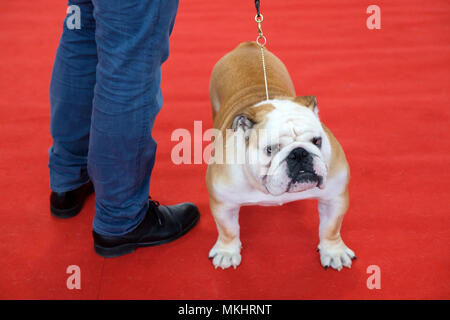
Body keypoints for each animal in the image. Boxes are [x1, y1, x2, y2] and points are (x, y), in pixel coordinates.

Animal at [206, 42, 356, 270]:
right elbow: (228, 230)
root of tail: (248, 46)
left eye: (317, 141)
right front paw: (227, 252)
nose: (299, 153)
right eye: (270, 149)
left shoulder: (334, 197)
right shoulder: (223, 202)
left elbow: (331, 228)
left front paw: (333, 252)